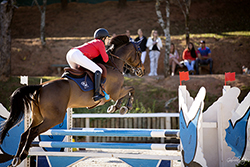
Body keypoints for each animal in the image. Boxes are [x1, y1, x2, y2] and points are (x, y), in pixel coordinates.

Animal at [0, 34, 145, 166]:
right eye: (139, 52)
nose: (142, 71)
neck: (113, 65)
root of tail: (40, 87)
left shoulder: (117, 91)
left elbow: (127, 92)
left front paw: (116, 107)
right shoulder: (116, 91)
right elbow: (131, 89)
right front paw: (124, 107)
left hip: (38, 117)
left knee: (24, 134)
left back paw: (16, 159)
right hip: (54, 118)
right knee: (33, 132)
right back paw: (22, 156)